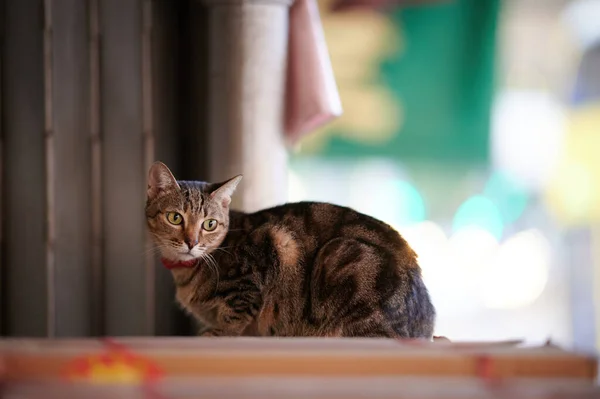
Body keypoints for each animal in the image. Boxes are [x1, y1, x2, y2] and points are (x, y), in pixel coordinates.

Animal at [145, 162, 436, 338]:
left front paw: (216, 334)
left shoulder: (267, 253)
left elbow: (233, 320)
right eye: (175, 218)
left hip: (343, 257)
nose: (191, 242)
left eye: (209, 224)